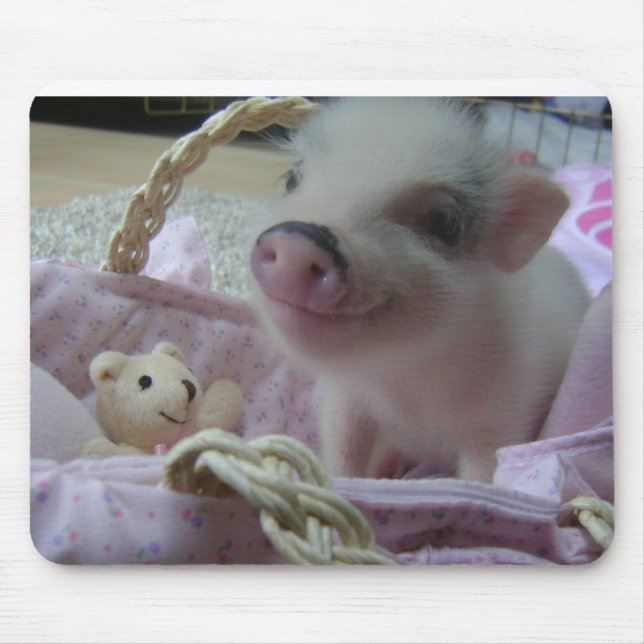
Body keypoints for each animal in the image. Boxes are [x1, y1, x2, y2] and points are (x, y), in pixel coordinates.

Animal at [249, 98, 590, 482]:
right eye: (292, 180)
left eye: (444, 222)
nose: (297, 240)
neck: (403, 383)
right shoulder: (343, 395)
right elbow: (342, 447)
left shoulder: (504, 412)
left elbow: (482, 476)